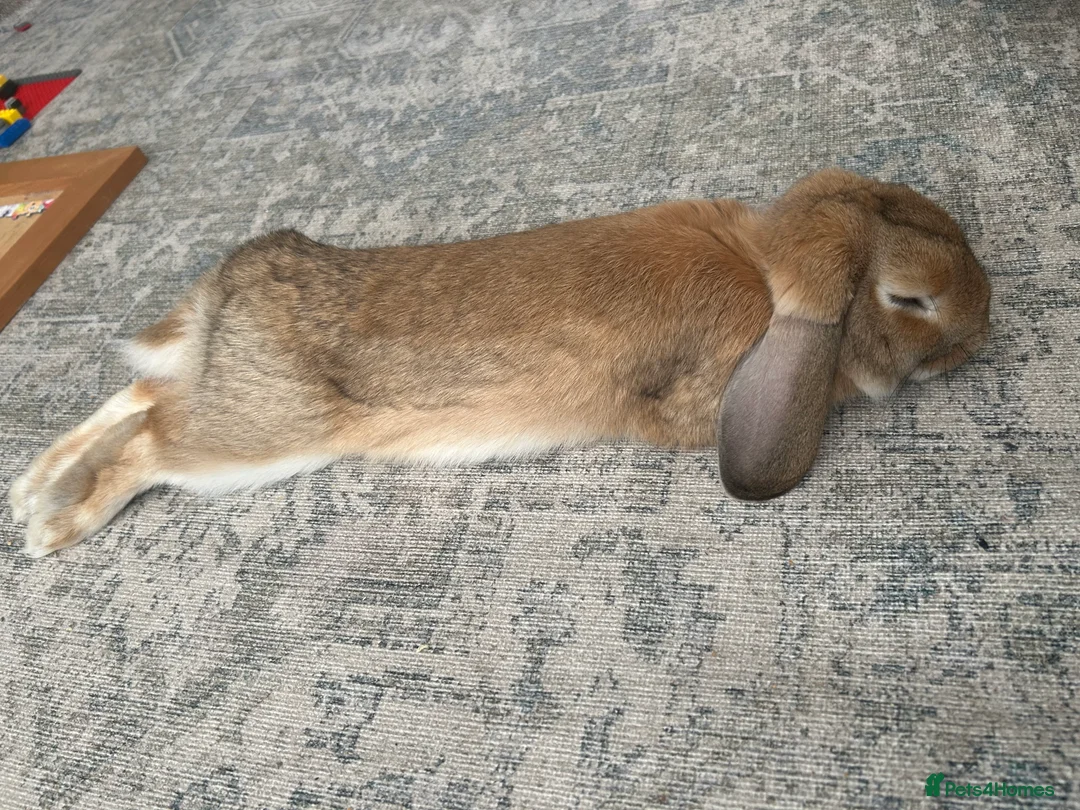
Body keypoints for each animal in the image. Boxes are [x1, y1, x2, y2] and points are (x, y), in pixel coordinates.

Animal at [9, 168, 990, 558]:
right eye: (909, 299)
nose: (985, 328)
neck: (765, 265)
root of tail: (231, 287)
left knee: (139, 392)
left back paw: (28, 487)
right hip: (256, 439)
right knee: (153, 439)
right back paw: (52, 529)